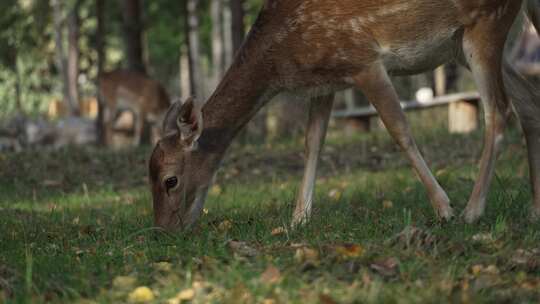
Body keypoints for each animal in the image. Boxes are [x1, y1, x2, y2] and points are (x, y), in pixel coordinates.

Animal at [148, 0, 540, 228]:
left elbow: (399, 130)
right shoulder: (325, 82)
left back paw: (473, 211)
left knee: (499, 110)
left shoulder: (362, 58)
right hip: (468, 40)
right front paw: (299, 219)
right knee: (529, 104)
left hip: (484, 23)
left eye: (171, 180)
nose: (165, 231)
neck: (280, 60)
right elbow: (312, 143)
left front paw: (444, 208)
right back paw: (534, 208)